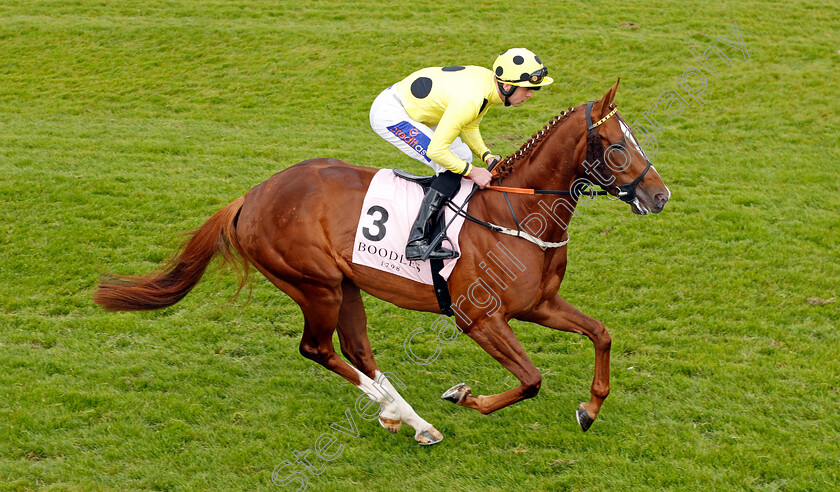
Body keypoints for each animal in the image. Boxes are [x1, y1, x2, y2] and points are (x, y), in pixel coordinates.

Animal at [93, 80, 668, 446]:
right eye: (616, 145)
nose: (660, 197)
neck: (518, 212)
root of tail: (251, 197)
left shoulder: (540, 303)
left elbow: (601, 334)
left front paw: (590, 409)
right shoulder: (479, 317)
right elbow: (530, 380)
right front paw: (462, 395)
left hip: (345, 285)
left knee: (357, 350)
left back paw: (412, 422)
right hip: (316, 283)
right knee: (319, 348)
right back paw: (400, 413)